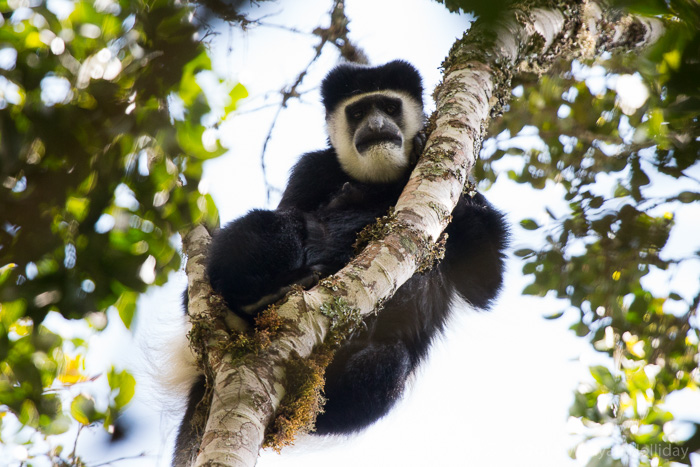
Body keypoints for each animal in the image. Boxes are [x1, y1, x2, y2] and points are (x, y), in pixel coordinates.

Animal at [172, 60, 506, 466]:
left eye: (390, 106)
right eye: (358, 112)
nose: (376, 126)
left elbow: (483, 284)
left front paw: (420, 152)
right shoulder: (311, 169)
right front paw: (349, 199)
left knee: (389, 364)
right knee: (275, 226)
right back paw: (264, 296)